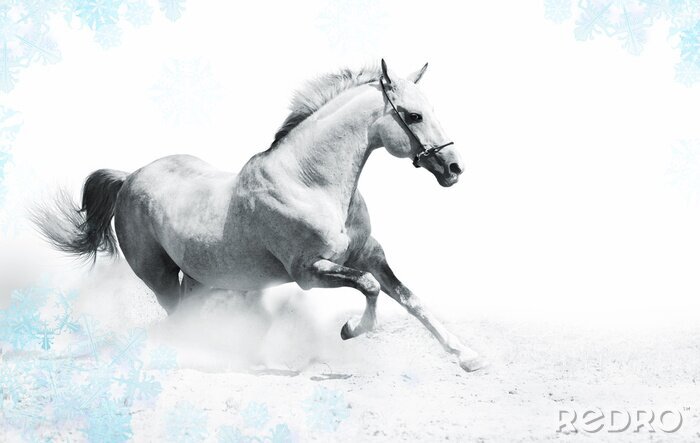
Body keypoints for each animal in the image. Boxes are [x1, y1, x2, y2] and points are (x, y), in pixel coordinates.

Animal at [33, 59, 484, 372]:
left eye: (431, 109)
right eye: (413, 115)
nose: (454, 168)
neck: (310, 183)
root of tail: (130, 177)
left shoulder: (369, 255)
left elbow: (412, 300)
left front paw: (468, 356)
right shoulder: (309, 272)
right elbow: (371, 289)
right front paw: (349, 330)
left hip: (199, 279)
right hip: (159, 278)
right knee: (175, 319)